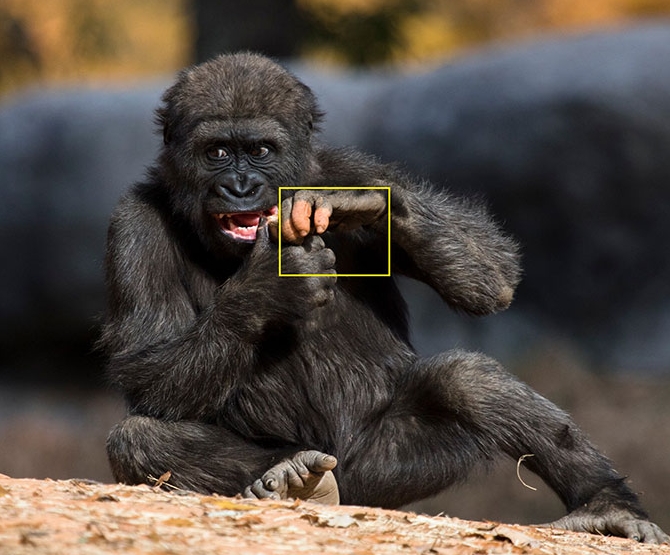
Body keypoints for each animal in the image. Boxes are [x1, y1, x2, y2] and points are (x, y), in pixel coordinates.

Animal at [100, 53, 668, 544]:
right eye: (217, 152)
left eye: (260, 150)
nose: (240, 187)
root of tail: (351, 491)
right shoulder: (132, 225)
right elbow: (149, 369)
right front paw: (268, 285)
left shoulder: (350, 164)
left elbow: (493, 278)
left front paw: (364, 204)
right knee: (139, 438)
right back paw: (287, 474)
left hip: (389, 471)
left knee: (467, 380)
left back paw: (604, 505)